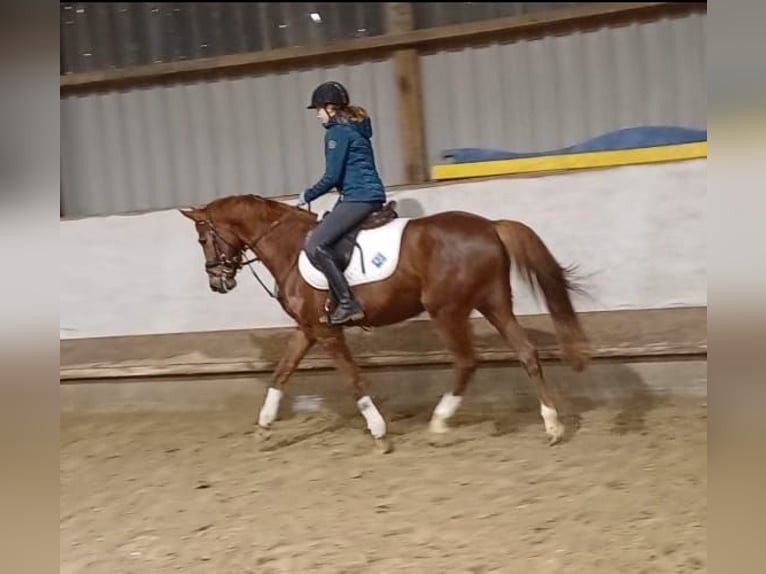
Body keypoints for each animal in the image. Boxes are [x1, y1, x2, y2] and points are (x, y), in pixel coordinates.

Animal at [180, 194, 591, 453]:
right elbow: (281, 373)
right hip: (494, 303)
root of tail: (490, 226)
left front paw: (379, 433)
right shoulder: (307, 329)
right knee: (526, 353)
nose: (218, 283)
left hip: (448, 309)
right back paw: (552, 426)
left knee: (467, 362)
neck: (288, 245)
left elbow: (352, 377)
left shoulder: (326, 331)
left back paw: (439, 424)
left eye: (203, 239)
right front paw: (263, 428)